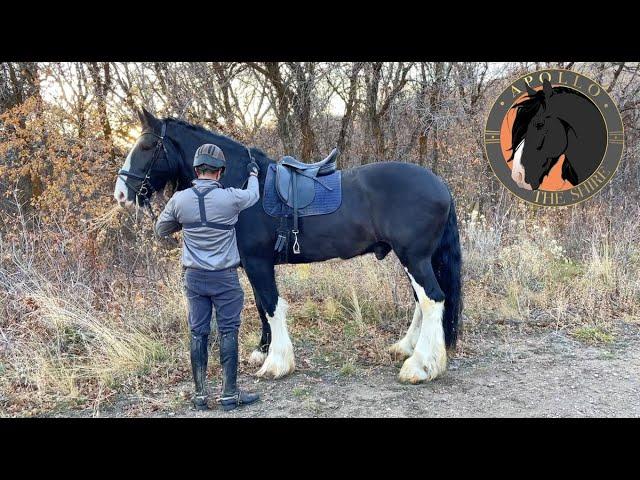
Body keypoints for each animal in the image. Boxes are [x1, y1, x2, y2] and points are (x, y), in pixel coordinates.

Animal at [115, 108, 462, 382]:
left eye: (146, 145)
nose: (121, 193)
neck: (241, 186)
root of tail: (439, 183)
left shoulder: (257, 262)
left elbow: (271, 305)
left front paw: (276, 363)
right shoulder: (255, 264)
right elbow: (259, 304)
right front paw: (262, 351)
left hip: (414, 258)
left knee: (432, 300)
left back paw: (420, 366)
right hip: (415, 259)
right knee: (422, 302)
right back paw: (405, 349)